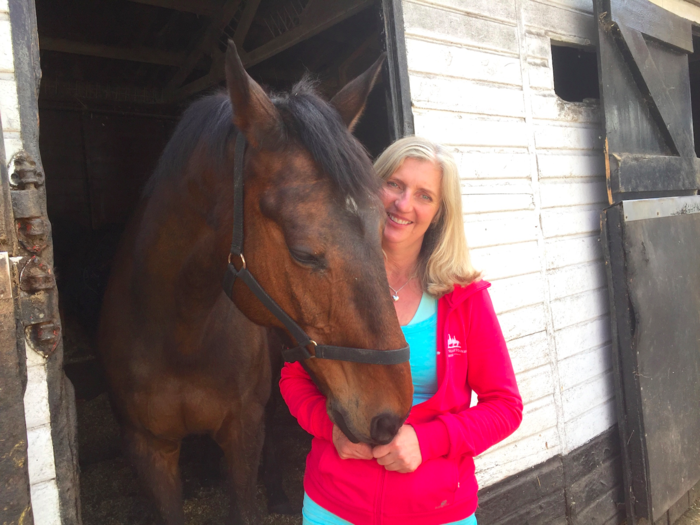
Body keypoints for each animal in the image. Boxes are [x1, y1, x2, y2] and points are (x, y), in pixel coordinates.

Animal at [99, 42, 416, 524]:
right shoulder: (147, 449)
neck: (180, 333)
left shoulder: (242, 432)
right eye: (303, 252)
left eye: (382, 227)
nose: (390, 418)